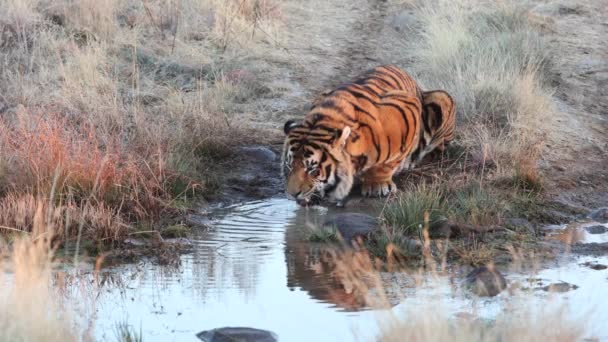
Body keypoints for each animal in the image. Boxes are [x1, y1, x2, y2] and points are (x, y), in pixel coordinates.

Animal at [282, 66, 422, 207]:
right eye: (289, 166)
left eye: (312, 169)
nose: (292, 195)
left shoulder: (407, 109)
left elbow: (387, 164)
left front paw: (376, 184)